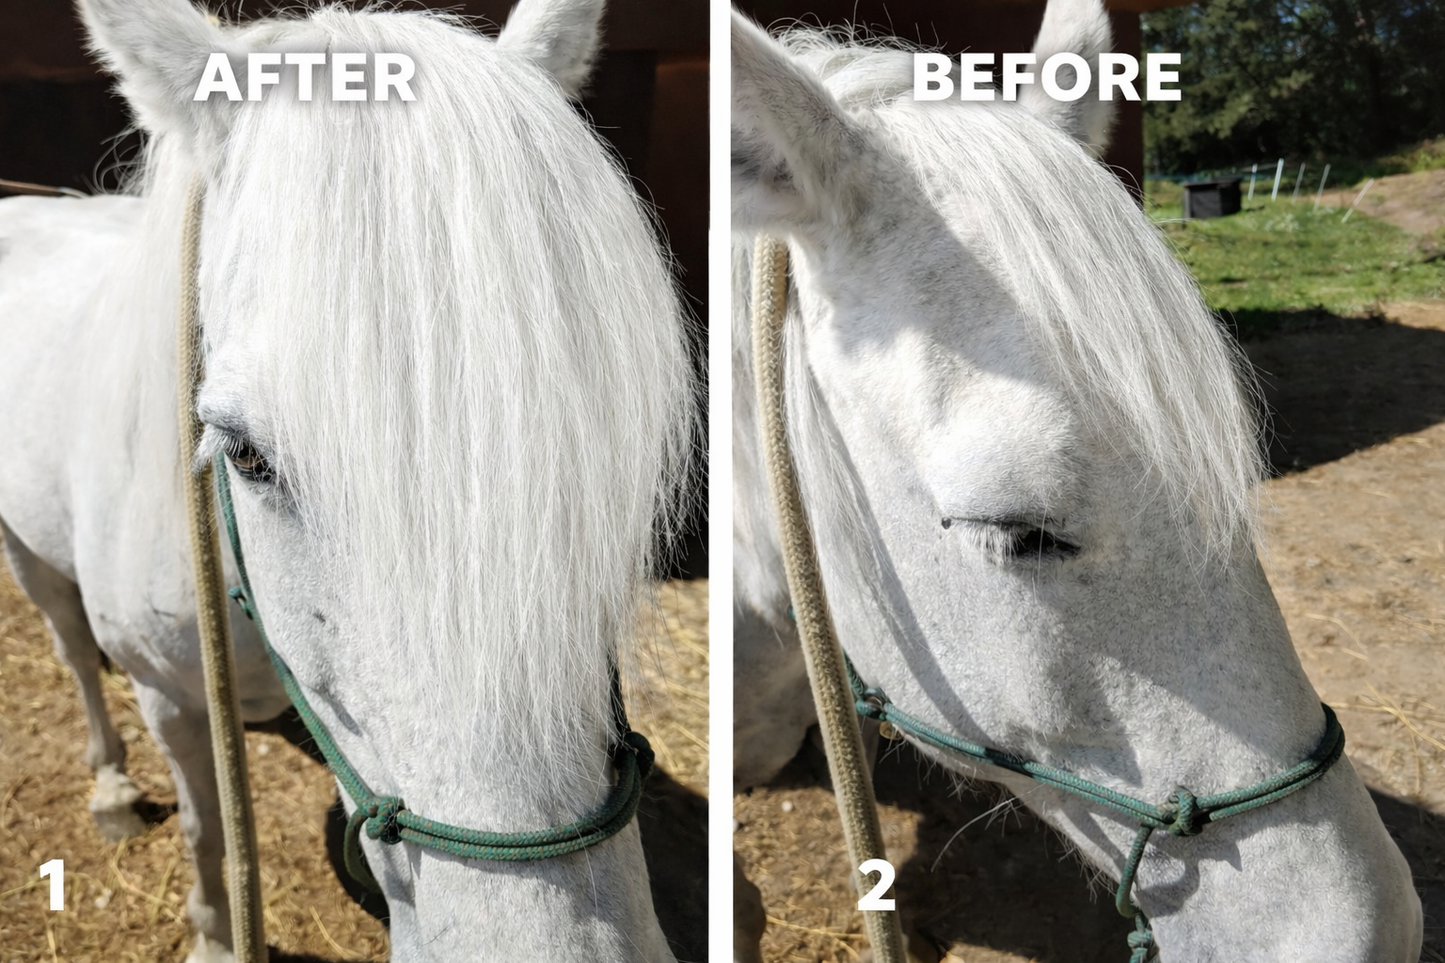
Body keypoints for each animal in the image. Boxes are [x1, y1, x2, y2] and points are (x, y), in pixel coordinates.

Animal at [0, 0, 693, 960]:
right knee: (67, 643)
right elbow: (206, 828)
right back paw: (109, 785)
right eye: (245, 454)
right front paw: (214, 931)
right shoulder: (169, 696)